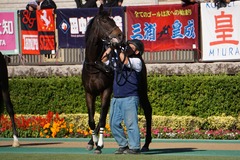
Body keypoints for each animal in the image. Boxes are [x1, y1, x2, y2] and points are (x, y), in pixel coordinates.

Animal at [82, 5, 152, 154]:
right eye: (104, 21)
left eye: (113, 20)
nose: (120, 35)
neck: (95, 65)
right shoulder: (89, 93)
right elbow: (92, 120)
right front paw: (93, 141)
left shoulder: (106, 90)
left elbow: (102, 118)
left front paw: (99, 145)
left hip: (141, 87)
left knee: (148, 109)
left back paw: (146, 144)